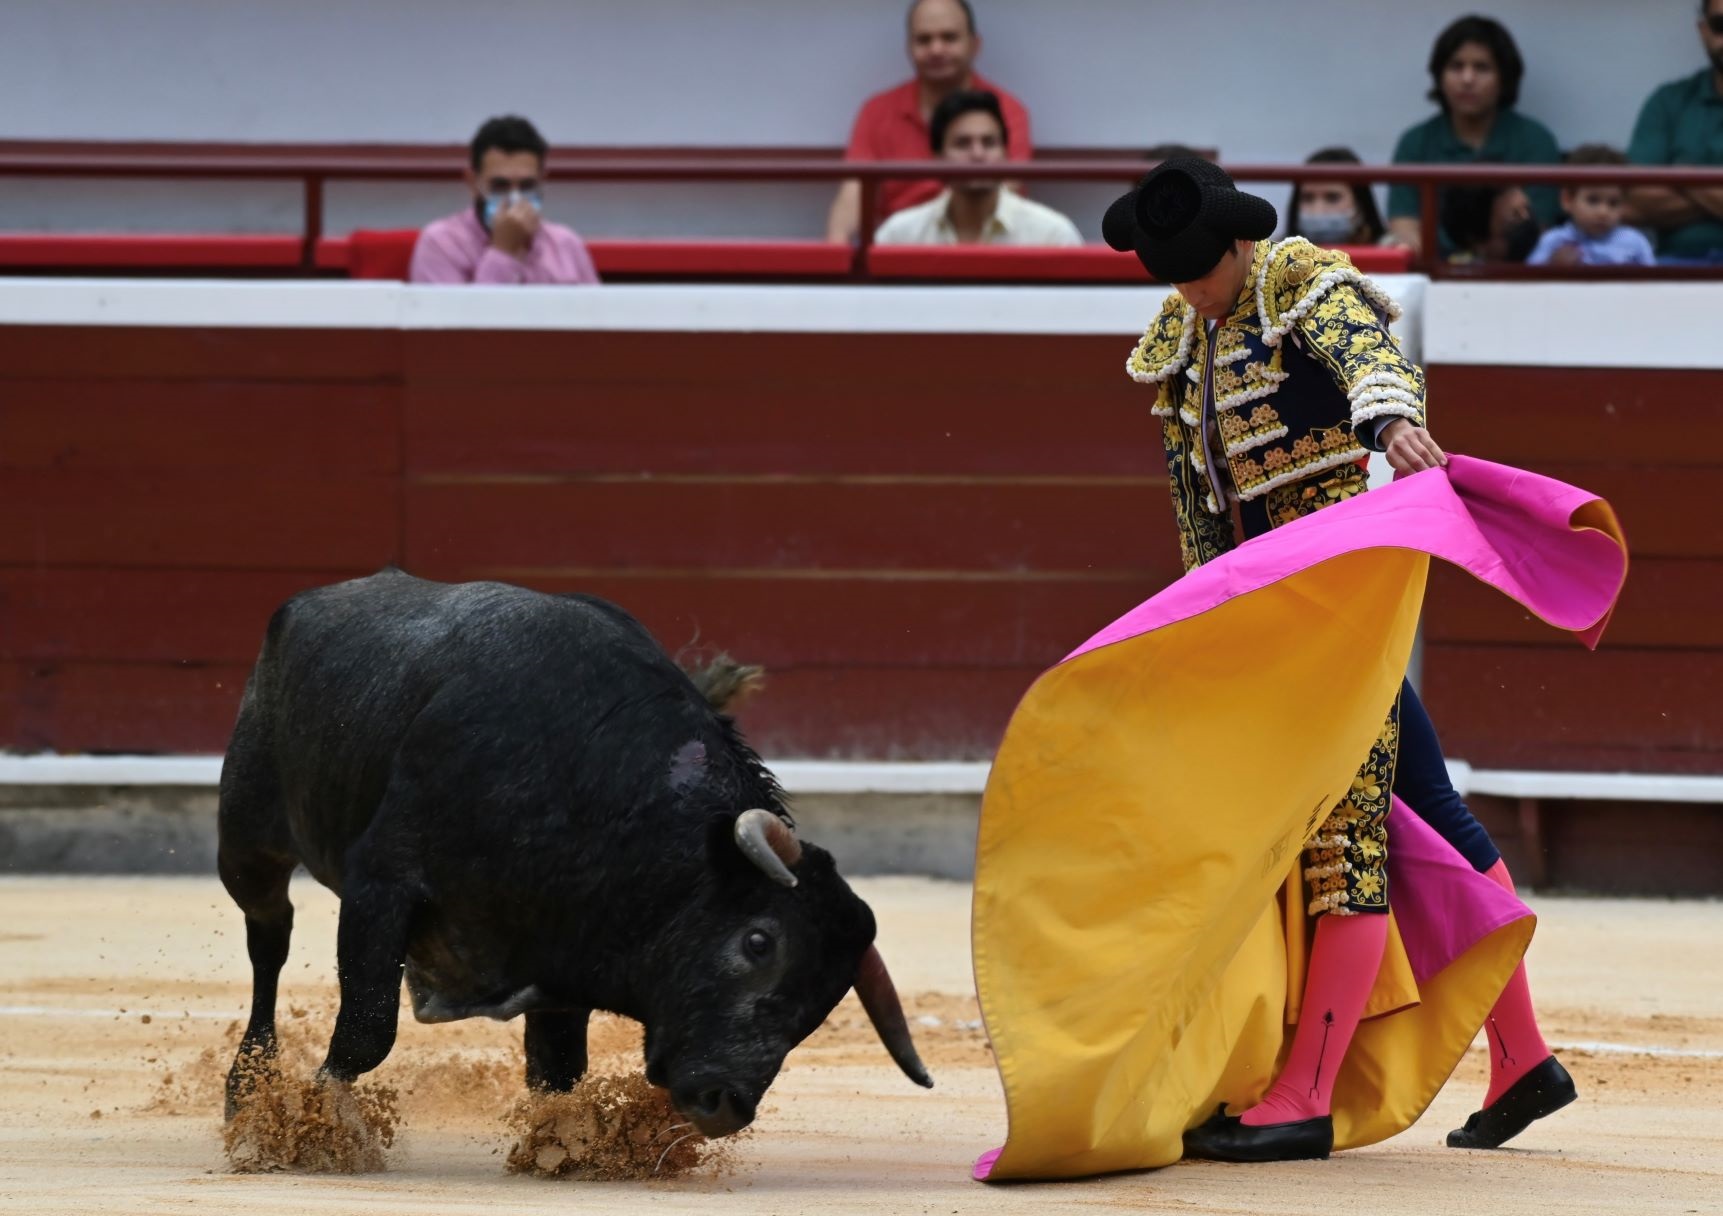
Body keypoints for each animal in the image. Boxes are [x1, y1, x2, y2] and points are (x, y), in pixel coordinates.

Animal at [217, 569, 930, 1138]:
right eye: (759, 942)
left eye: (831, 996)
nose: (727, 1103)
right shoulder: (381, 885)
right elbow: (366, 1029)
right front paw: (312, 1125)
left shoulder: (561, 963)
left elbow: (557, 1069)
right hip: (247, 842)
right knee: (269, 939)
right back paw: (246, 1087)